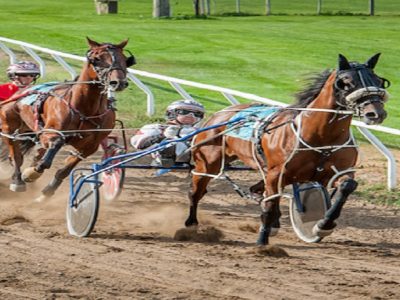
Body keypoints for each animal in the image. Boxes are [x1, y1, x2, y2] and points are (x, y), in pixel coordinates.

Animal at [0, 37, 134, 197]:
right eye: (96, 59)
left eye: (125, 59)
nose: (118, 82)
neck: (86, 110)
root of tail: (21, 92)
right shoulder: (49, 132)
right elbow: (54, 146)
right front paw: (31, 173)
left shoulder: (89, 146)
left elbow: (64, 171)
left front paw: (47, 192)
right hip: (9, 126)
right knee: (16, 156)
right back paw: (18, 180)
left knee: (36, 153)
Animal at [187, 54, 390, 245]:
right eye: (347, 82)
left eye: (378, 81)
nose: (375, 113)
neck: (321, 136)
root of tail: (219, 114)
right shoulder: (277, 173)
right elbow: (270, 205)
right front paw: (262, 241)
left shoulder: (336, 172)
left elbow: (347, 186)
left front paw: (323, 225)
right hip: (208, 163)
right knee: (196, 192)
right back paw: (191, 224)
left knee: (257, 189)